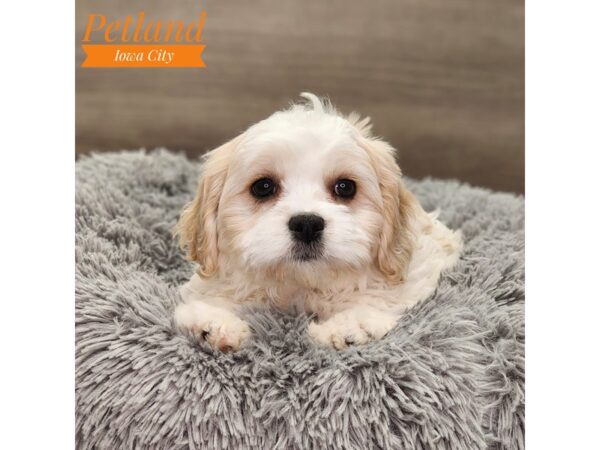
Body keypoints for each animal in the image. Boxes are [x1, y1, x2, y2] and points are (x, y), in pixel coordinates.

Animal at [173, 92, 464, 352]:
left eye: (345, 187)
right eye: (263, 187)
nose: (307, 224)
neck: (301, 288)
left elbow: (379, 300)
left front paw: (350, 326)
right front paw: (211, 319)